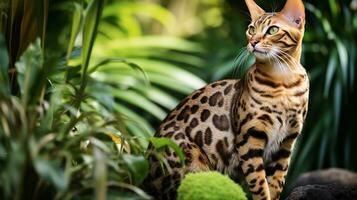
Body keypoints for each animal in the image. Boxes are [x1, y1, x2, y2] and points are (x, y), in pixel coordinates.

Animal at [145, 0, 308, 199]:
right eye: (251, 29)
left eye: (273, 30)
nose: (253, 42)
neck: (284, 80)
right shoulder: (250, 137)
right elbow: (259, 183)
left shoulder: (286, 143)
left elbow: (276, 183)